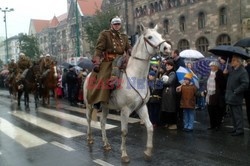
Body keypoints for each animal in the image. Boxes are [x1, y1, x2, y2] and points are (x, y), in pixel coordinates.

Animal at [84, 24, 172, 163]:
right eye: (150, 37)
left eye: (160, 35)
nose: (167, 47)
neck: (135, 76)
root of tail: (87, 76)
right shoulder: (125, 110)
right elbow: (124, 132)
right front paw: (124, 155)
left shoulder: (142, 107)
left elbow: (150, 127)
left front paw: (148, 152)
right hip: (89, 104)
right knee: (88, 120)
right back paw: (90, 138)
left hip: (105, 106)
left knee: (102, 122)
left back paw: (106, 144)